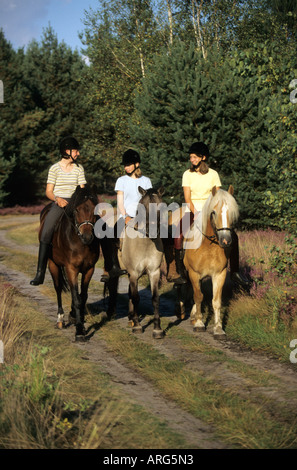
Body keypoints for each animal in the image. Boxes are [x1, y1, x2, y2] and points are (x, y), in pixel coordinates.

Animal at [38, 184, 99, 342]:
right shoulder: (71, 269)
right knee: (58, 288)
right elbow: (76, 298)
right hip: (53, 264)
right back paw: (60, 319)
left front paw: (78, 321)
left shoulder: (89, 269)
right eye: (77, 210)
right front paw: (79, 331)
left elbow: (82, 297)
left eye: (94, 209)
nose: (87, 237)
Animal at [182, 185, 239, 340]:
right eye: (213, 212)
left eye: (232, 212)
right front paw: (199, 324)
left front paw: (218, 329)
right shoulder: (194, 273)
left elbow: (216, 300)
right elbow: (198, 296)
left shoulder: (219, 274)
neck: (208, 247)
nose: (226, 240)